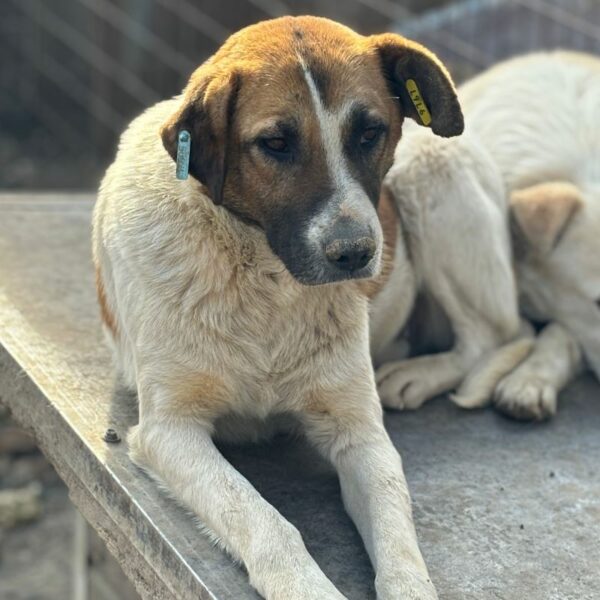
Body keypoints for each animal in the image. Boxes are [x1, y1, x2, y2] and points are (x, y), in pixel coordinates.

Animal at [92, 14, 464, 600]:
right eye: (276, 143)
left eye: (370, 132)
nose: (355, 253)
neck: (266, 282)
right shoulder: (169, 430)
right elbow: (262, 518)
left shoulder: (360, 434)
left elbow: (398, 538)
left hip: (445, 175)